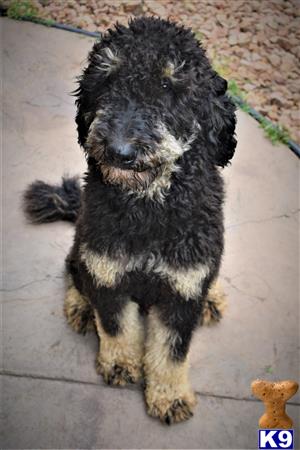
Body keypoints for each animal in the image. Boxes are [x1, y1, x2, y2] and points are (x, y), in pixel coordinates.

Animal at [24, 16, 237, 426]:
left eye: (170, 86)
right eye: (107, 79)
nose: (118, 151)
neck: (149, 206)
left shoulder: (182, 289)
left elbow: (172, 350)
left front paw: (169, 395)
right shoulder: (107, 273)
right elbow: (116, 325)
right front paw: (120, 363)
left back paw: (212, 297)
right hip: (83, 246)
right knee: (73, 269)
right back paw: (80, 305)